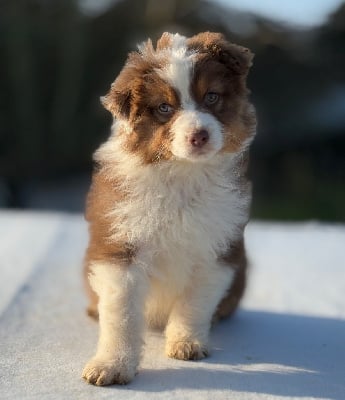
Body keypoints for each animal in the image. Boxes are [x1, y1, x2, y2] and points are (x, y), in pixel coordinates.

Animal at [82, 29, 255, 386]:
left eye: (211, 97)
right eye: (164, 107)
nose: (199, 136)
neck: (181, 174)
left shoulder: (217, 248)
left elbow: (195, 302)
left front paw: (187, 343)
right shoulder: (120, 245)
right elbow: (121, 313)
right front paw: (112, 364)